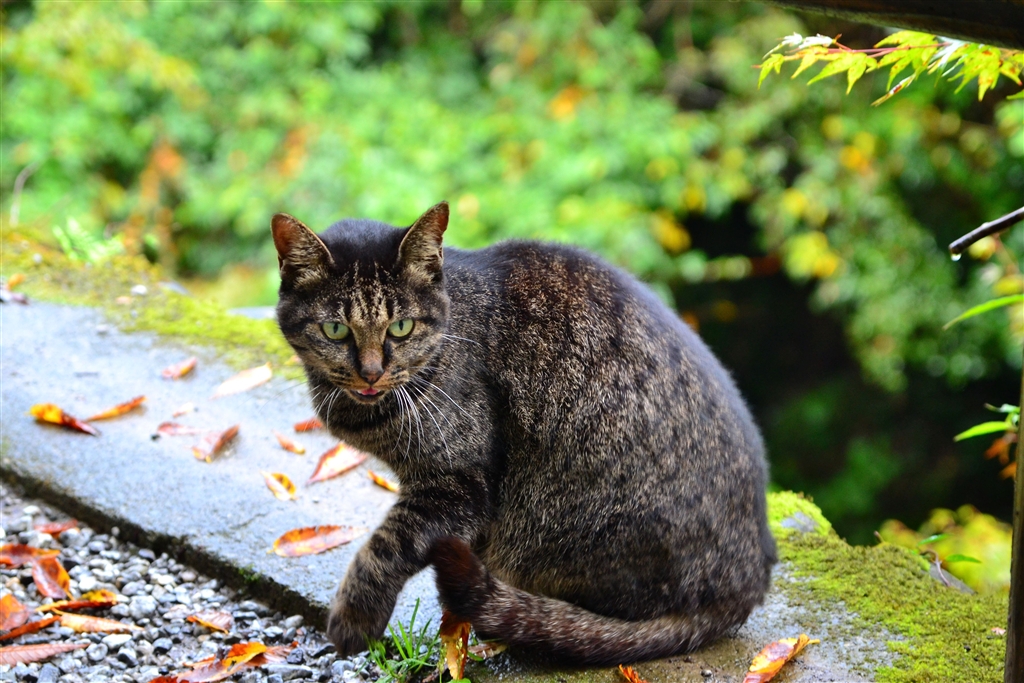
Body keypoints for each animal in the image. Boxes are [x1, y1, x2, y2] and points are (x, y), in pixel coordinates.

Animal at [272, 202, 776, 664]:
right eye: (335, 330)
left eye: (401, 326)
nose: (372, 373)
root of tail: (753, 574)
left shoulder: (459, 487)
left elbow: (386, 547)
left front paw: (355, 619)